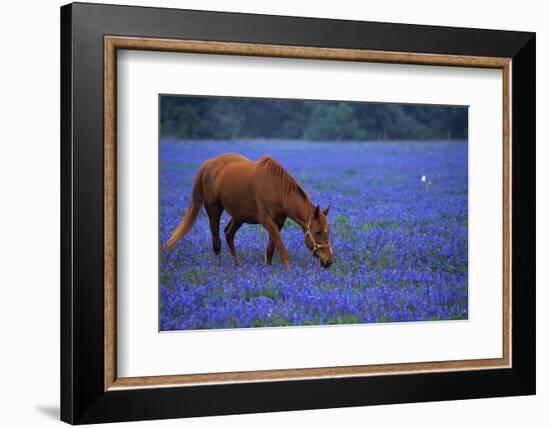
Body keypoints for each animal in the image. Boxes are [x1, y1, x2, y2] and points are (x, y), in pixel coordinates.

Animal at [164, 152, 334, 270]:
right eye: (318, 231)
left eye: (328, 231)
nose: (329, 260)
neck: (278, 190)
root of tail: (210, 163)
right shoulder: (267, 222)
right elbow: (281, 249)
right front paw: (289, 272)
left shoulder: (278, 223)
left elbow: (271, 249)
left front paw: (268, 269)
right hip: (214, 209)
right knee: (217, 240)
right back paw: (218, 267)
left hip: (239, 215)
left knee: (228, 233)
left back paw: (236, 264)